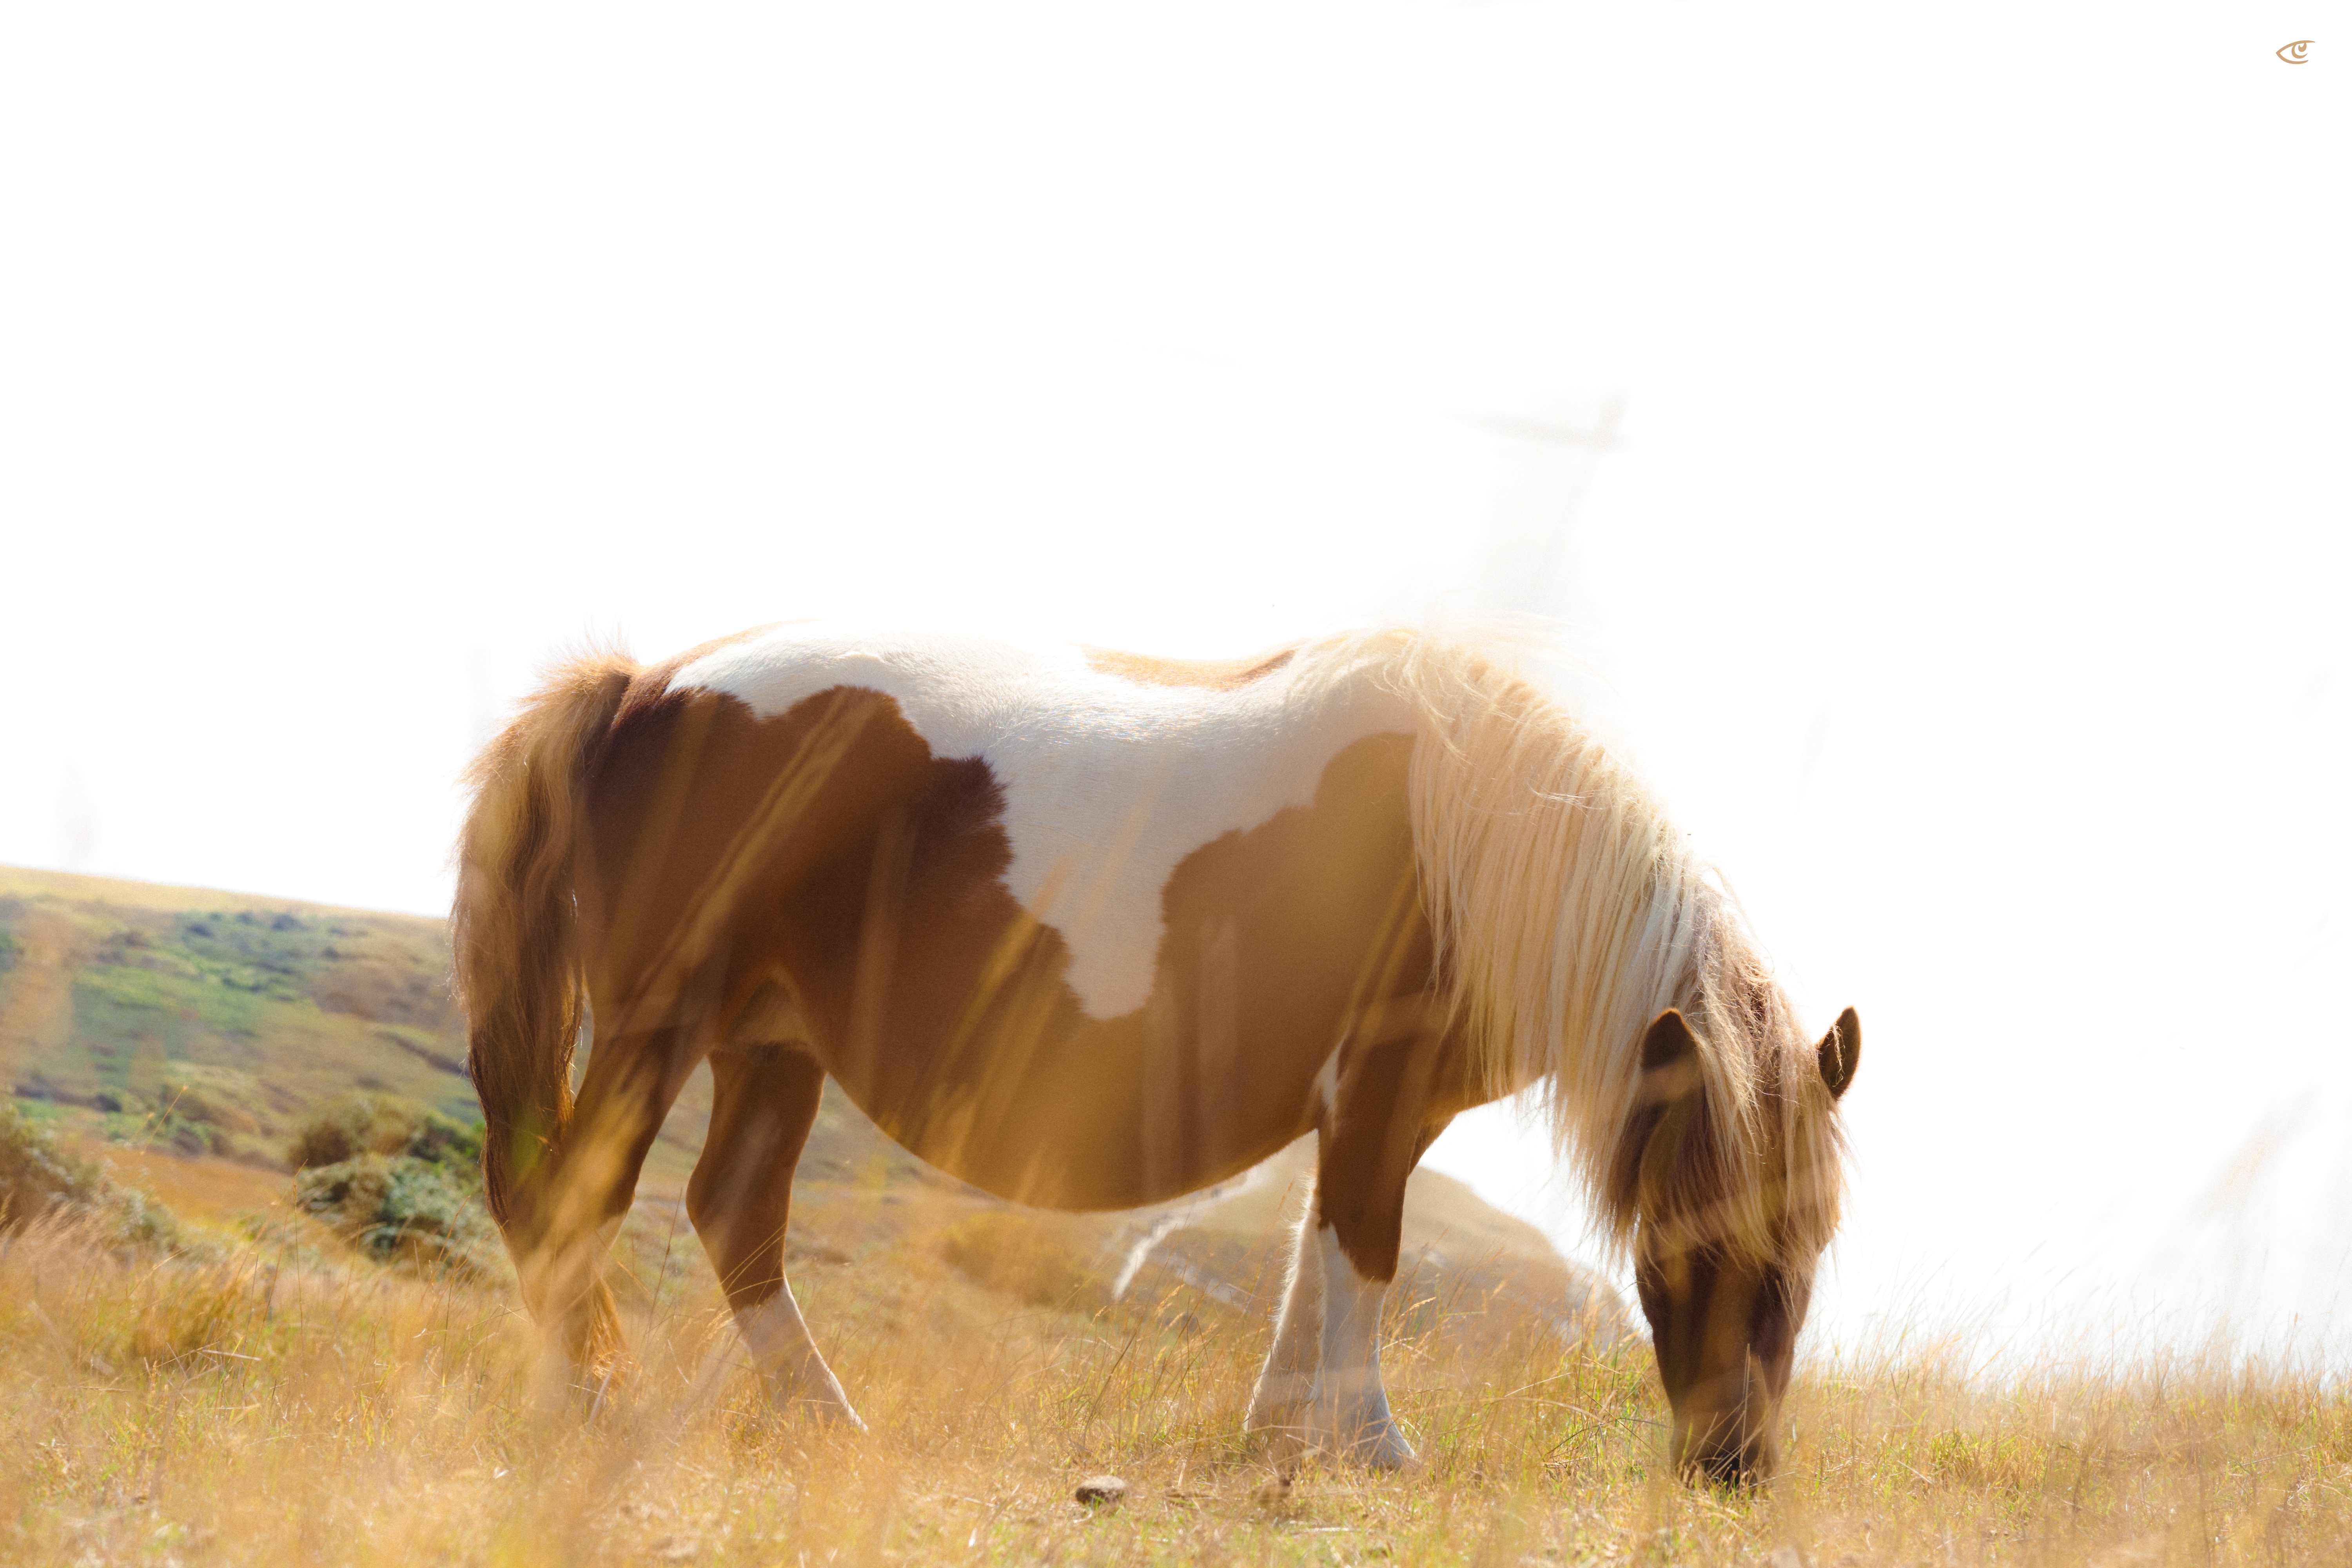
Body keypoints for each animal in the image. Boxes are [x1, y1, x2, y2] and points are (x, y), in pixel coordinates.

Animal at [452, 621, 1858, 1485]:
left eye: (1806, 1247)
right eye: (1686, 1242)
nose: (1734, 1470)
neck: (1466, 831)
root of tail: (643, 686)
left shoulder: (1372, 1109)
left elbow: (1320, 1256)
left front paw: (1287, 1434)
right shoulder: (1378, 1092)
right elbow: (1364, 1254)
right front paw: (1373, 1445)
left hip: (769, 1045)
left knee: (732, 1214)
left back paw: (824, 1420)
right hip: (660, 1022)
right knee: (568, 1197)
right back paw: (585, 1405)